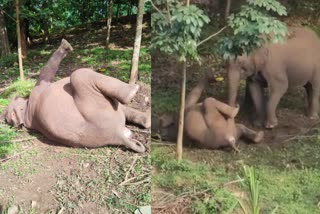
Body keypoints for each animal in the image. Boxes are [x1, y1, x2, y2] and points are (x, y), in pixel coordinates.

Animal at [0, 39, 151, 153]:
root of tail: (118, 136)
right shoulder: (38, 90)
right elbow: (45, 74)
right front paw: (66, 45)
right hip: (98, 107)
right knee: (79, 74)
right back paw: (133, 90)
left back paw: (147, 118)